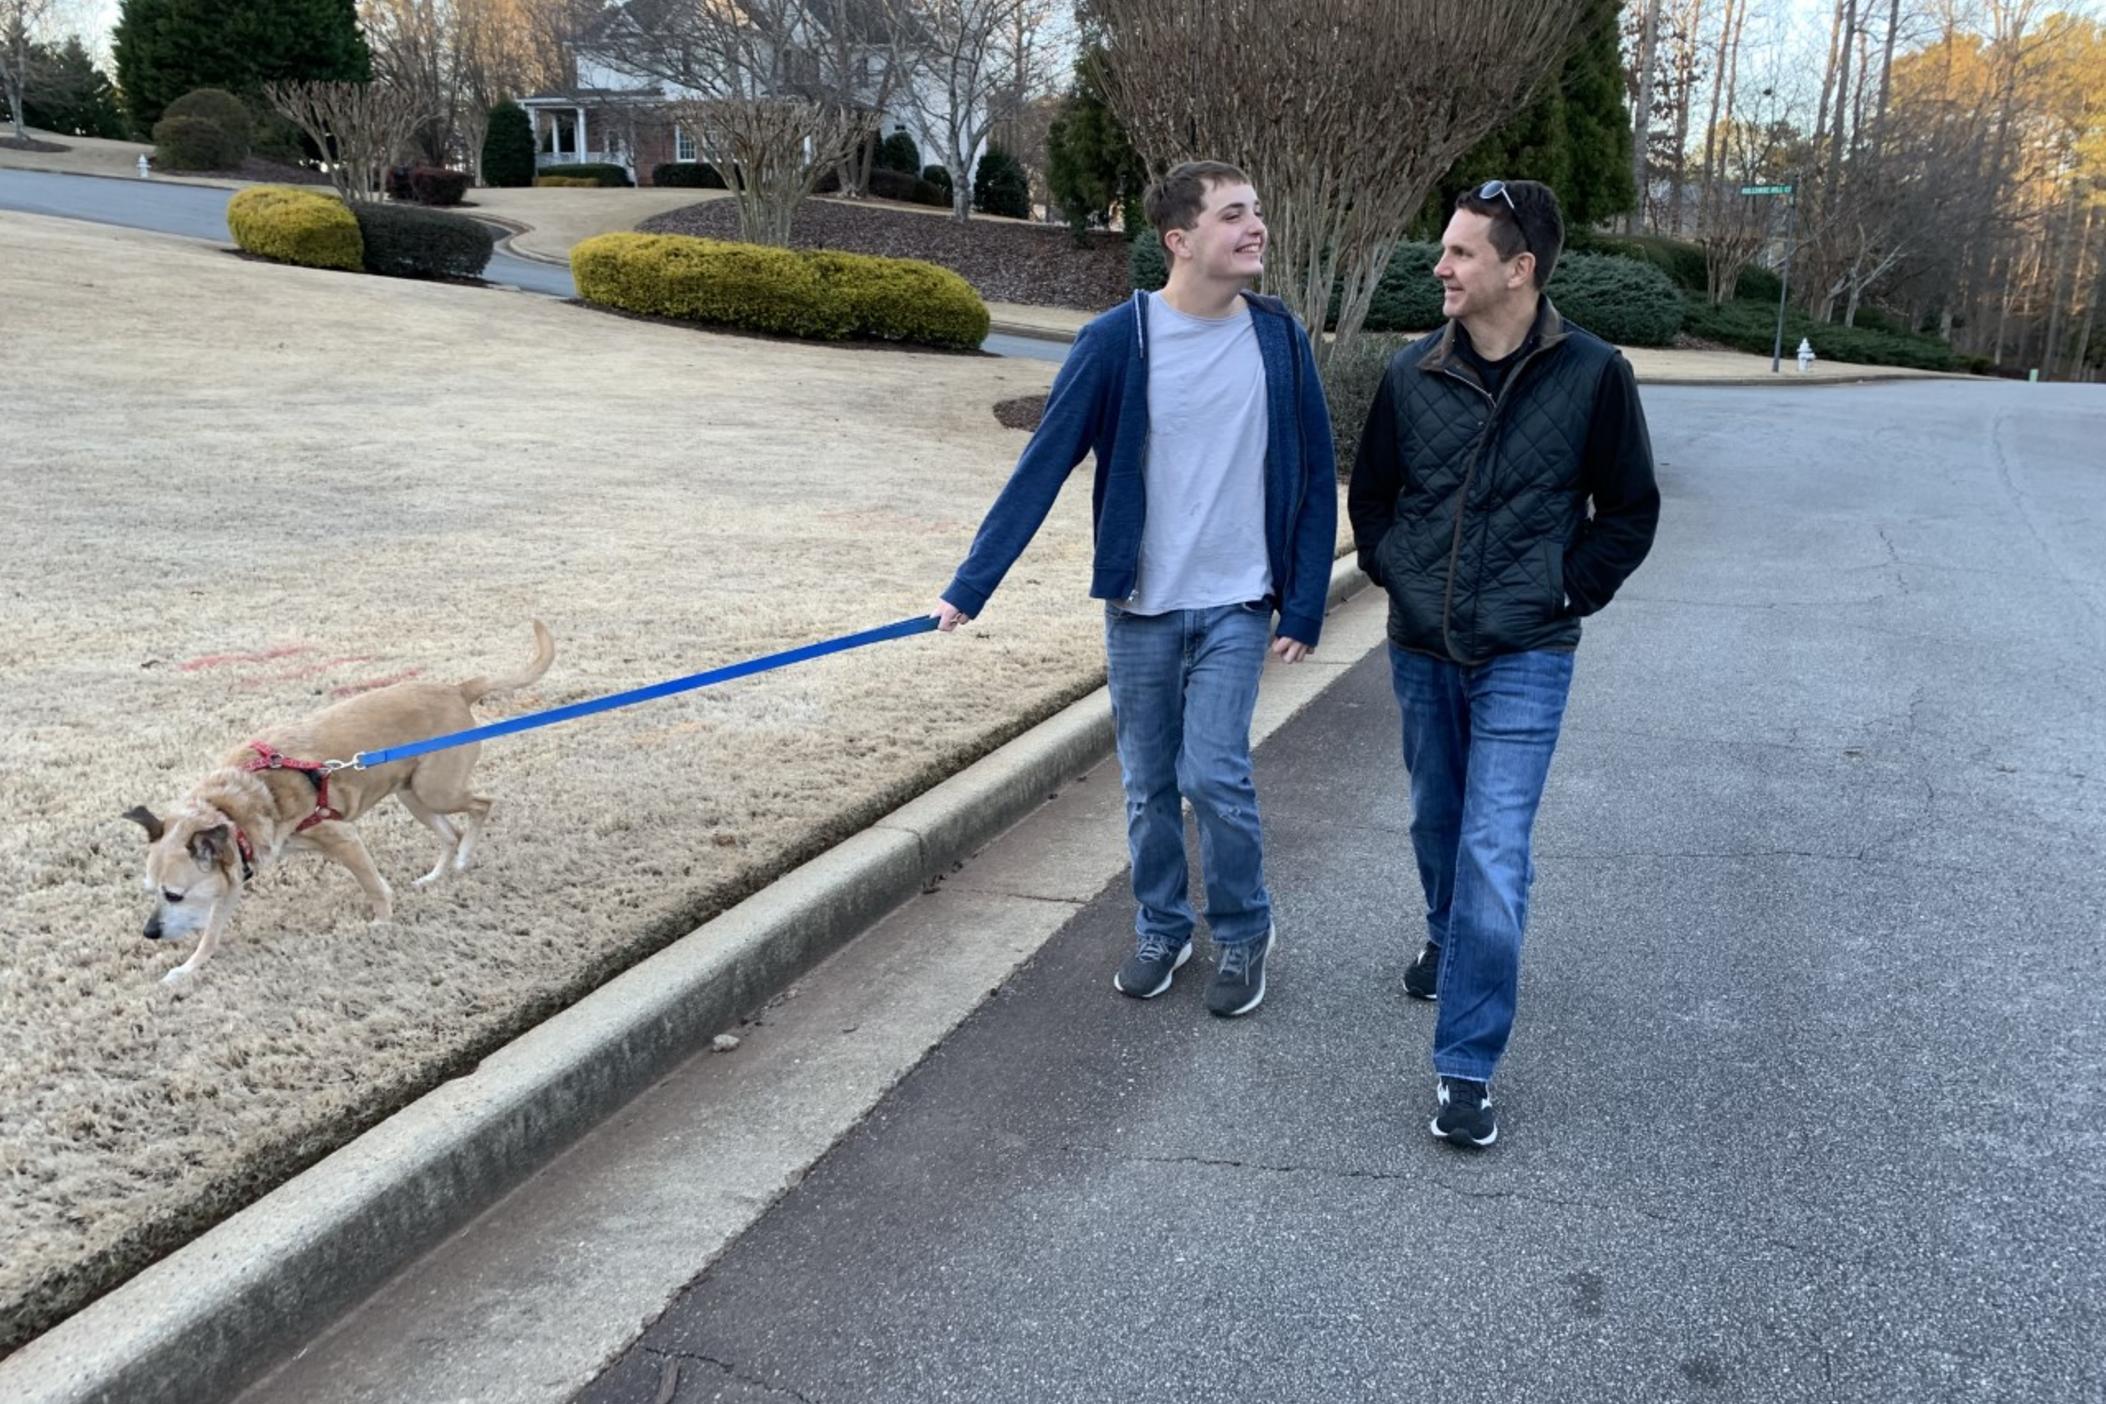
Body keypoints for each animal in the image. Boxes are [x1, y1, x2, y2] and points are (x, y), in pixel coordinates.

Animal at [122, 618, 551, 985]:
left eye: (173, 895)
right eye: (150, 891)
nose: (149, 933)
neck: (233, 805)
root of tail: (456, 689)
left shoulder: (343, 838)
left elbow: (375, 888)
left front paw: (381, 924)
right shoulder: (232, 875)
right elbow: (210, 933)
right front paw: (188, 968)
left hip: (437, 790)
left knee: (483, 804)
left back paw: (463, 859)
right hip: (413, 795)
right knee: (451, 832)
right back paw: (435, 876)